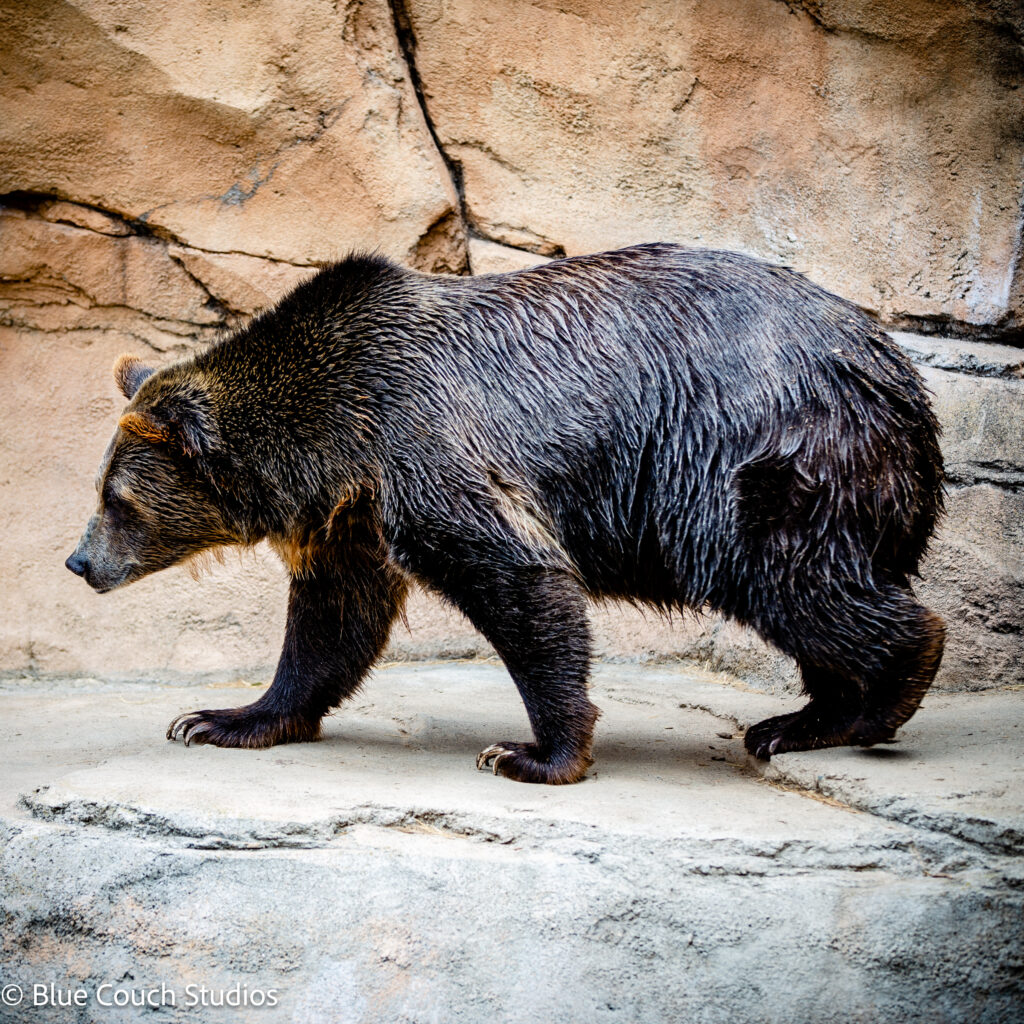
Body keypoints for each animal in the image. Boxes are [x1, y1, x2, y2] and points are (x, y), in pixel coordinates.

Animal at [66, 243, 946, 784]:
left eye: (114, 498)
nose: (78, 562)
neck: (334, 442)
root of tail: (893, 363)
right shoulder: (352, 517)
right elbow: (331, 621)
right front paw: (222, 716)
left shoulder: (423, 440)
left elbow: (518, 575)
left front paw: (533, 752)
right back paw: (803, 716)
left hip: (763, 456)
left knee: (795, 577)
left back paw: (866, 705)